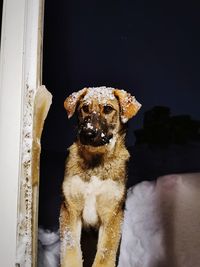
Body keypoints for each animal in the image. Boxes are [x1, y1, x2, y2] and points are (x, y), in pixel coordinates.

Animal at [59, 87, 141, 266]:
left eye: (108, 109)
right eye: (84, 108)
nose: (88, 133)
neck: (95, 164)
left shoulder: (111, 214)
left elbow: (105, 253)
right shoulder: (70, 208)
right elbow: (70, 249)